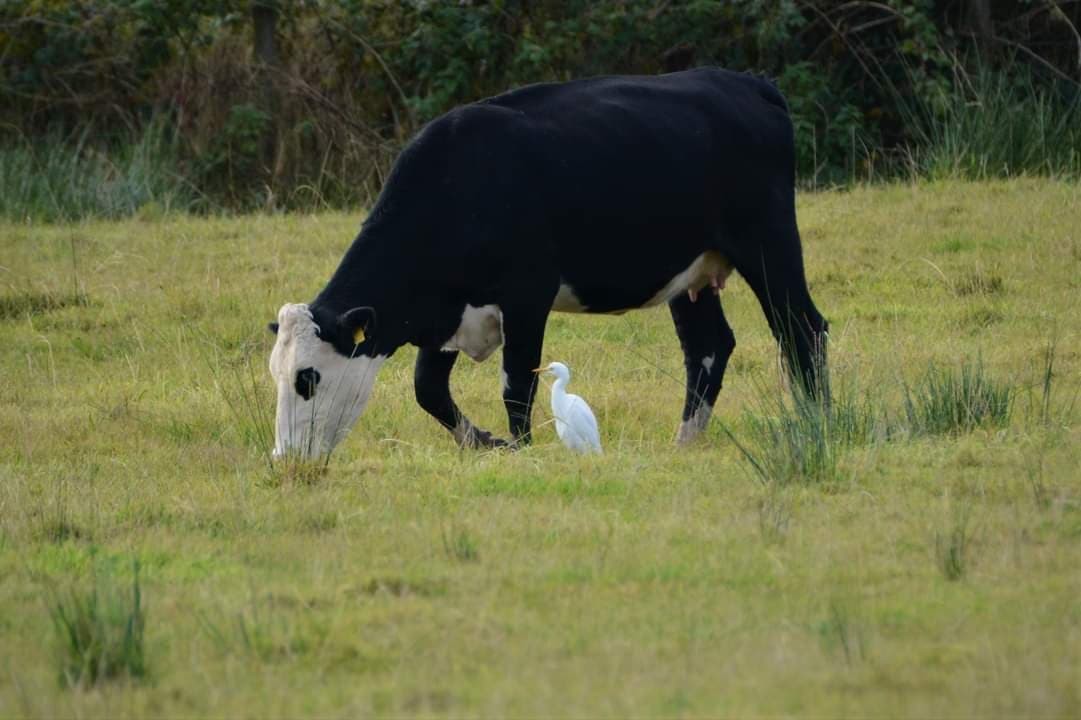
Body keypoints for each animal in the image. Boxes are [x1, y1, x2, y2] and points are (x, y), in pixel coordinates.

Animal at [268, 67, 828, 459]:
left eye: (307, 378)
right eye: (276, 373)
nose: (285, 456)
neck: (461, 184)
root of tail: (746, 83)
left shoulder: (526, 295)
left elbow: (518, 383)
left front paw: (522, 449)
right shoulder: (446, 312)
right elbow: (428, 388)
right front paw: (484, 442)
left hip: (768, 242)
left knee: (803, 328)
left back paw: (817, 422)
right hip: (690, 273)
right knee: (709, 346)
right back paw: (684, 441)